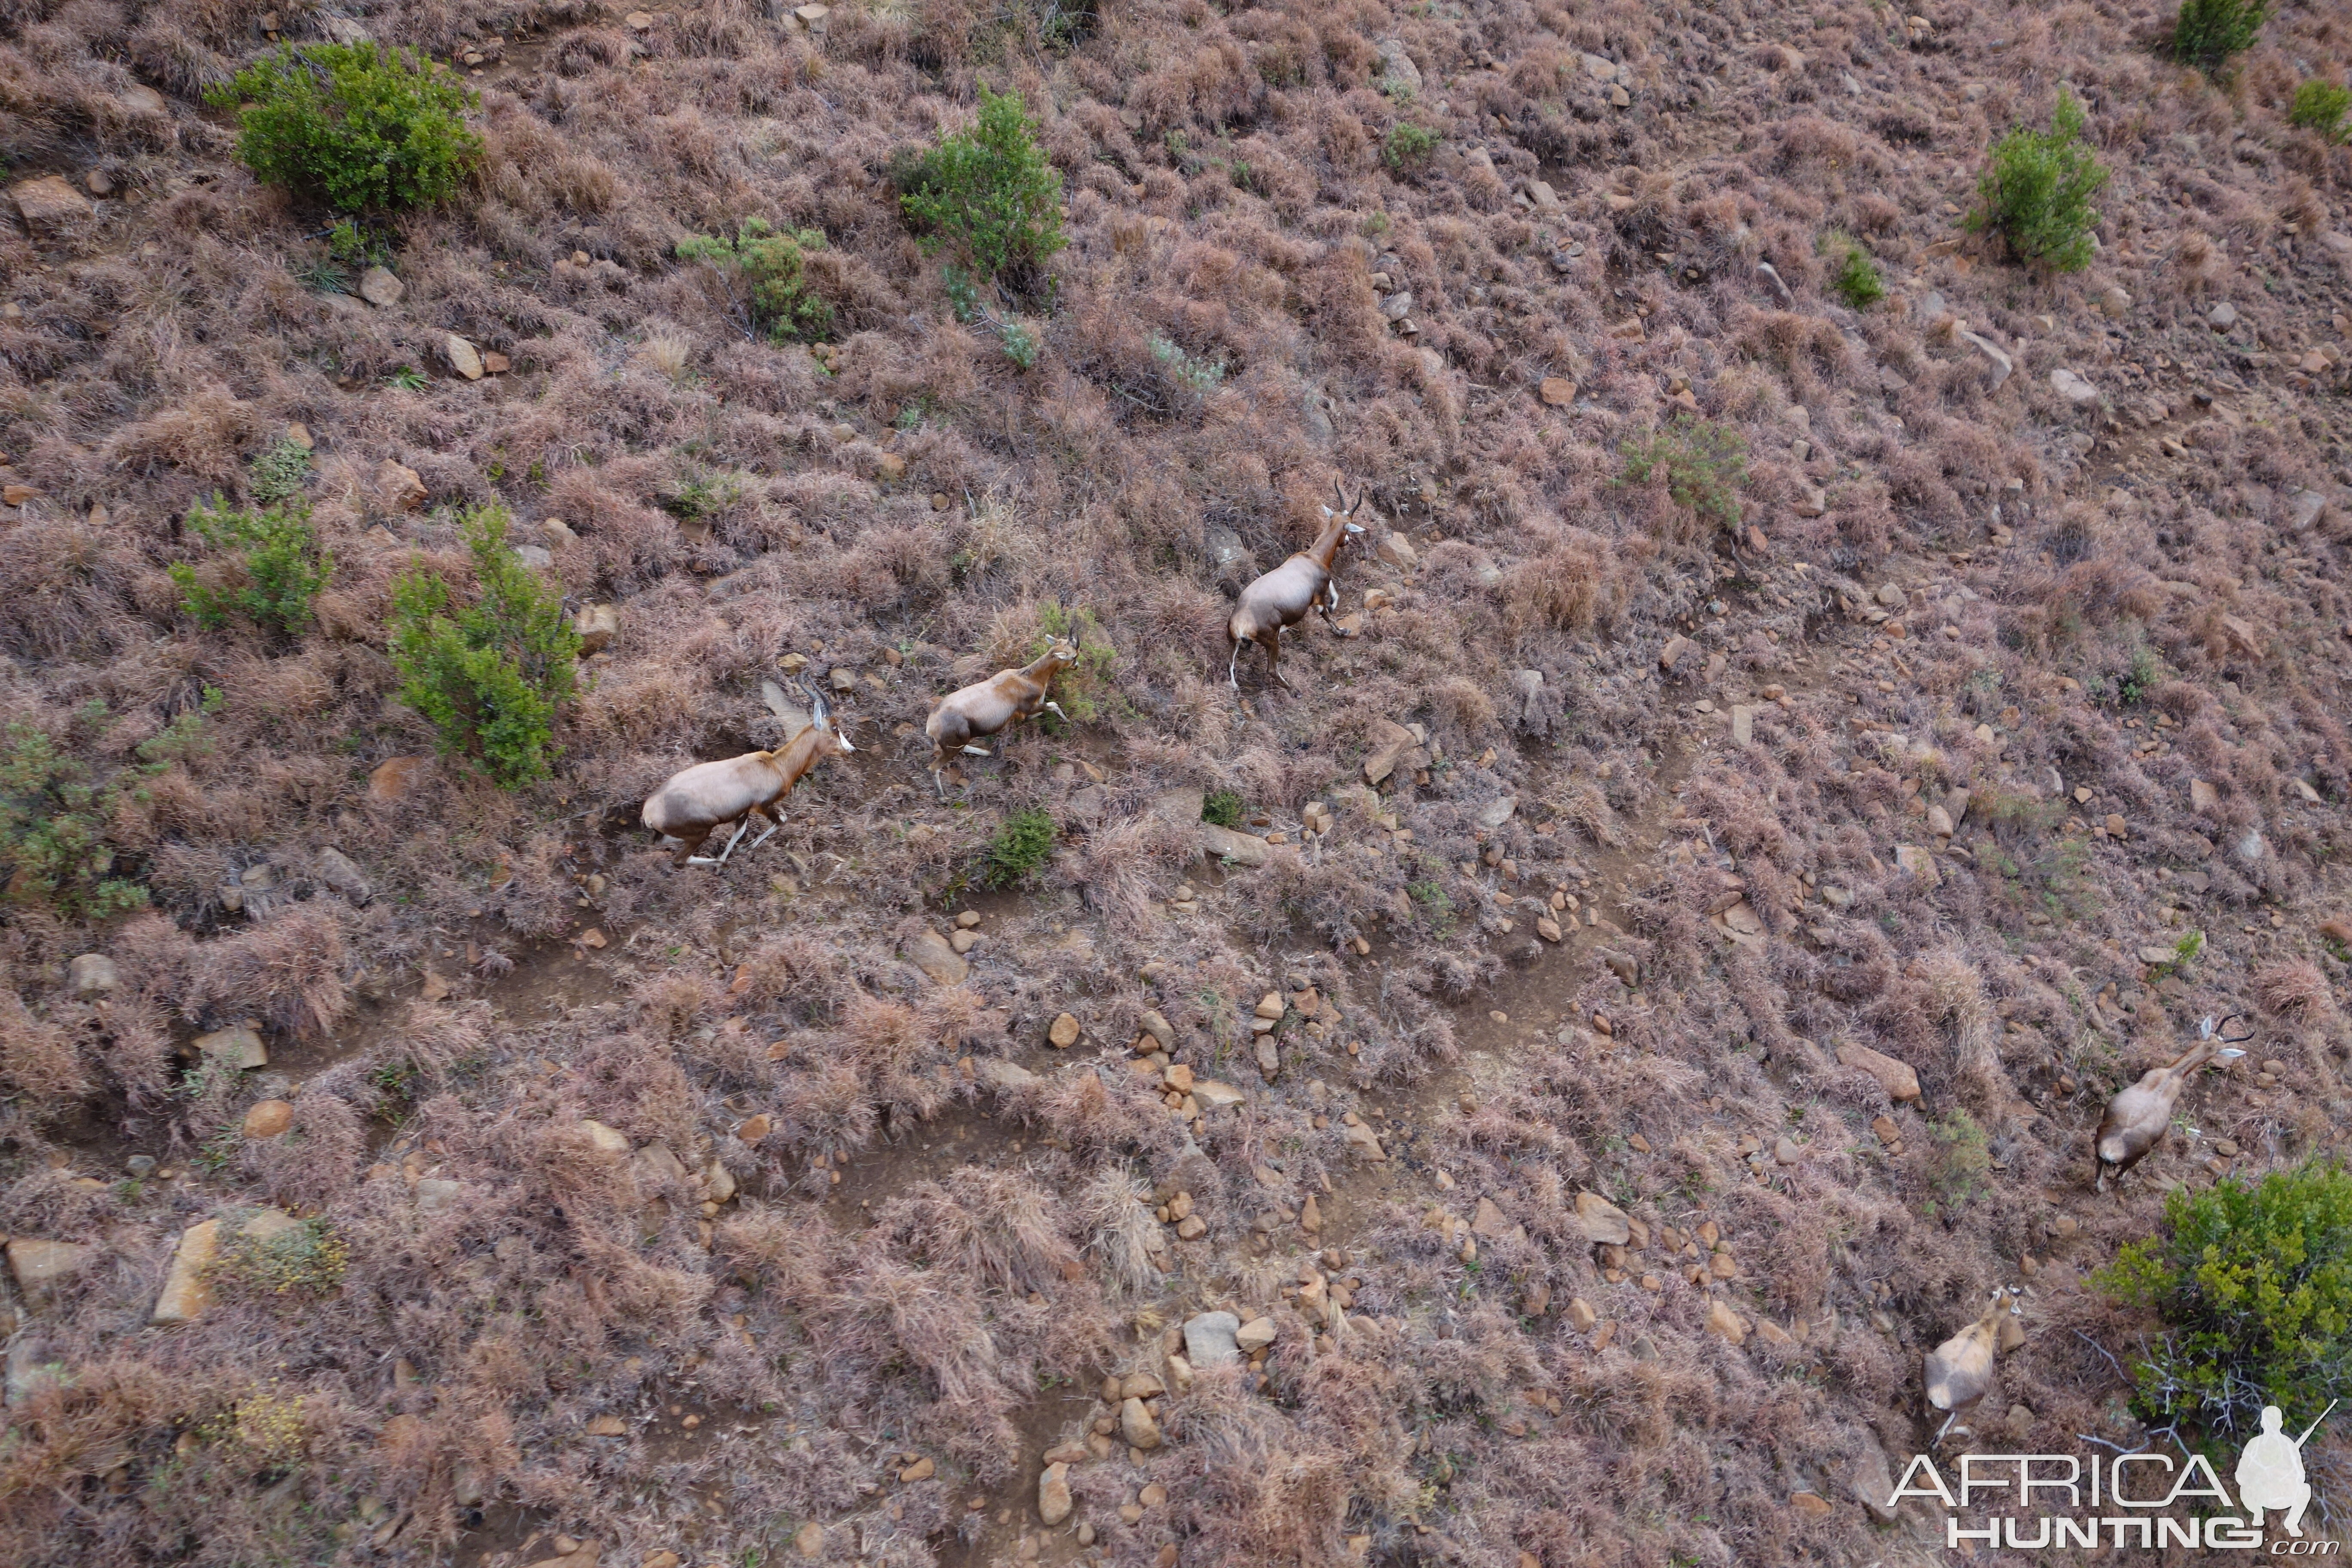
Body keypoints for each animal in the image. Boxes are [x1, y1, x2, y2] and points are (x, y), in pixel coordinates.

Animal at [644, 677, 856, 870]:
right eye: (835, 728)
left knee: (660, 842)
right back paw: (720, 863)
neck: (776, 765)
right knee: (681, 860)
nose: (850, 749)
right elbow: (782, 821)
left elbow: (740, 831)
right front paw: (745, 848)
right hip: (704, 830)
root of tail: (650, 812)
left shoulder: (744, 810)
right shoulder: (763, 807)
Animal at [922, 639, 1077, 799]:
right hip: (952, 748)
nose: (1076, 666)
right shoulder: (1027, 711)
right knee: (934, 768)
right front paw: (1070, 722)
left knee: (964, 748)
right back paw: (943, 798)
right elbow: (1052, 706)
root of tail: (931, 727)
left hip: (960, 742)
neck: (1025, 678)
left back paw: (988, 753)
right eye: (1074, 656)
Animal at [1223, 482, 1373, 691]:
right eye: (1348, 529)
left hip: (1234, 643)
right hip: (1273, 641)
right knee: (1272, 669)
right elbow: (1326, 614)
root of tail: (1241, 623)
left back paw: (1236, 687)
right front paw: (1342, 630)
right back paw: (1294, 690)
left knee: (1230, 662)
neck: (1312, 558)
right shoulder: (1318, 597)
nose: (1348, 541)